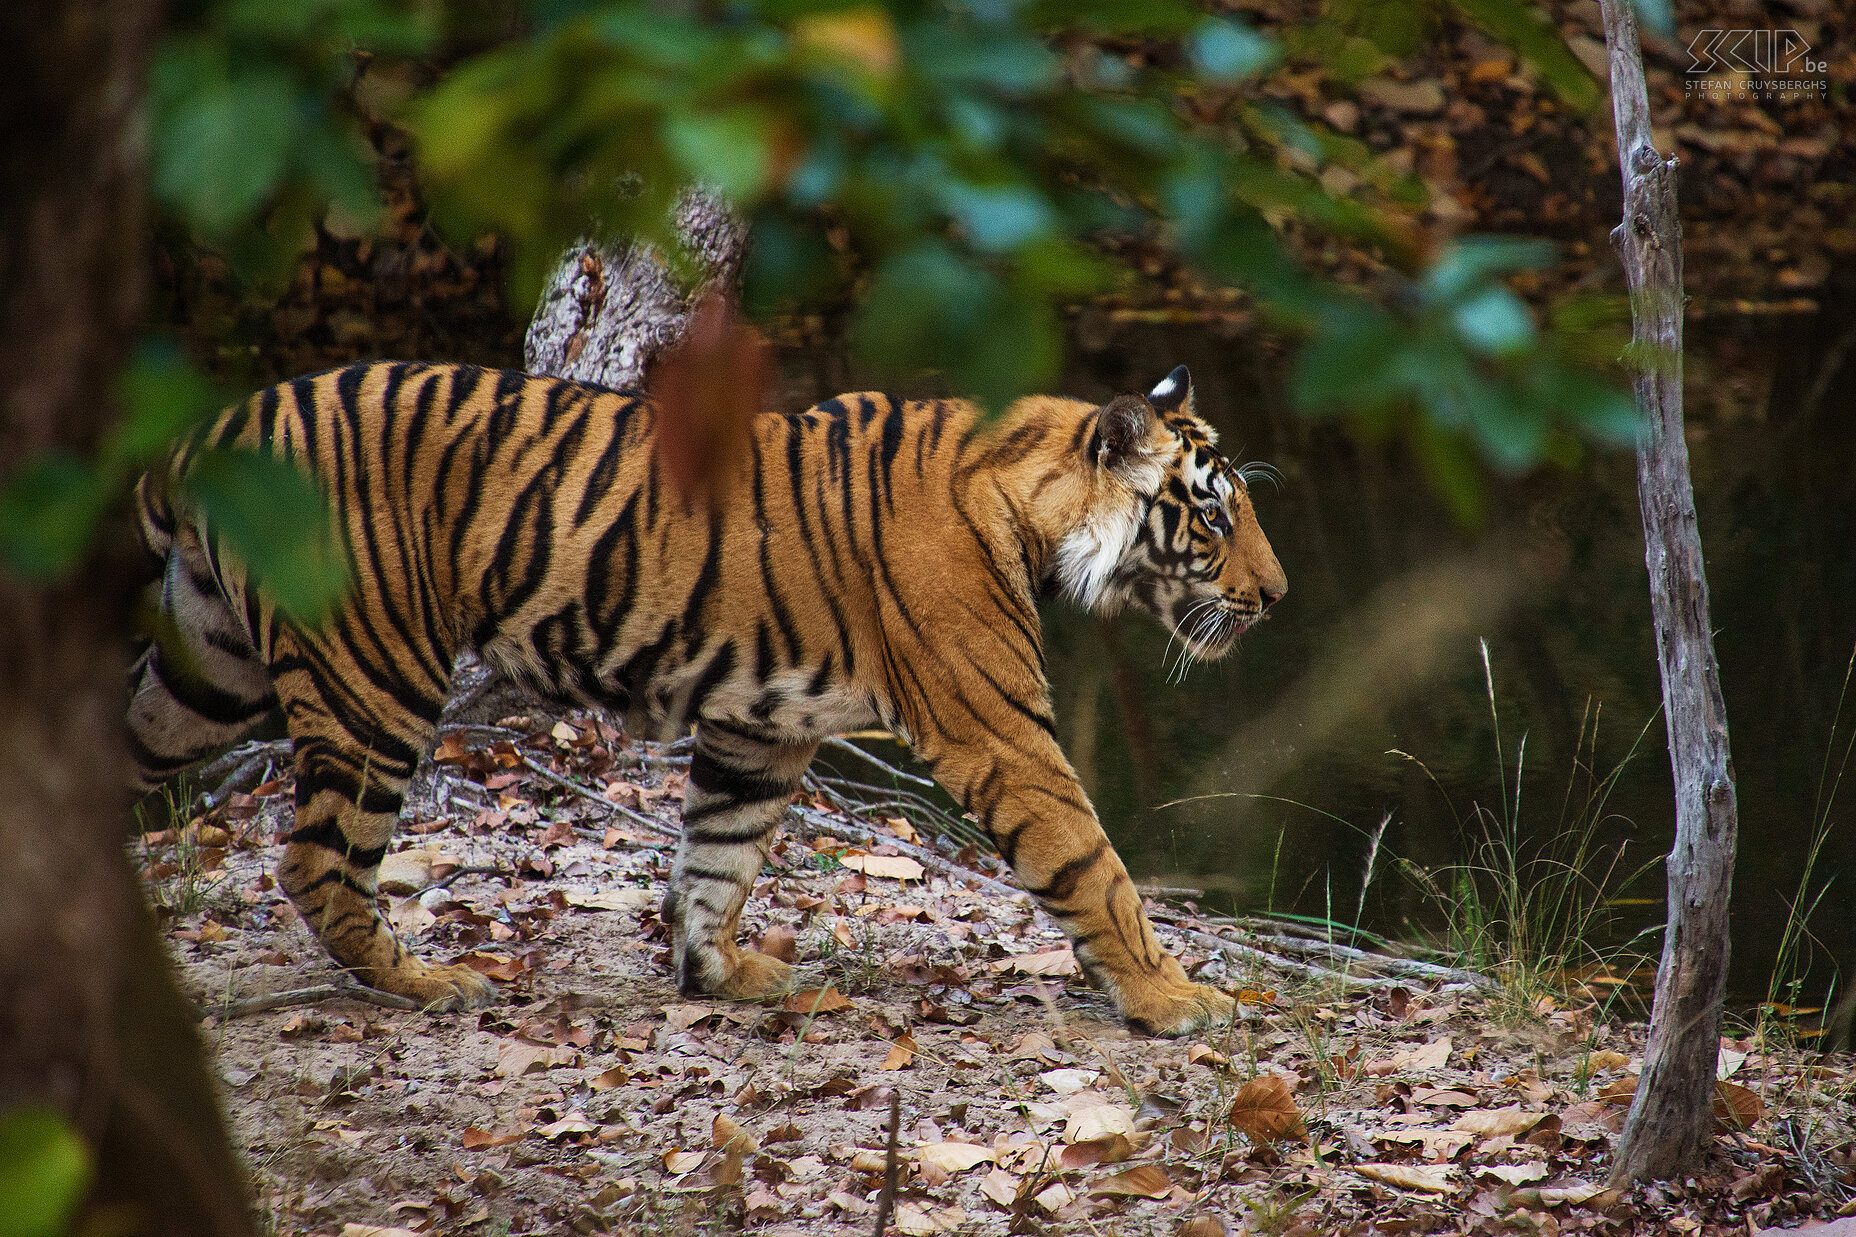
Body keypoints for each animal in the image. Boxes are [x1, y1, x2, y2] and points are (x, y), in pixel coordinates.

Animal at [130, 356, 1284, 1032]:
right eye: (1213, 516)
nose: (1276, 596)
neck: (1033, 503)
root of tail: (210, 431)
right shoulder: (999, 732)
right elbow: (1095, 864)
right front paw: (1172, 995)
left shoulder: (756, 728)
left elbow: (718, 853)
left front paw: (717, 974)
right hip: (374, 678)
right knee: (317, 861)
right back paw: (425, 983)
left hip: (203, 674)